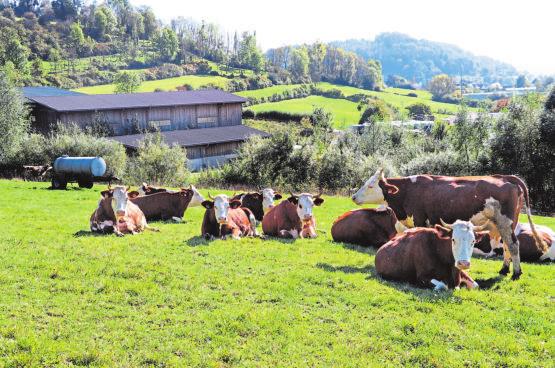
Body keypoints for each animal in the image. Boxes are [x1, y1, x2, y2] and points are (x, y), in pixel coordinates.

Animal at [354, 170, 548, 278]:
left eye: (370, 185)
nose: (354, 196)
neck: (409, 191)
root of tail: (507, 178)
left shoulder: (419, 219)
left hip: (505, 221)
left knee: (513, 245)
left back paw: (516, 273)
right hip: (504, 224)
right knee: (507, 244)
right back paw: (504, 270)